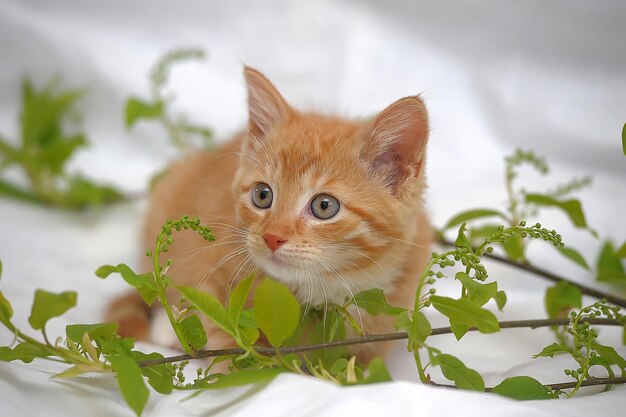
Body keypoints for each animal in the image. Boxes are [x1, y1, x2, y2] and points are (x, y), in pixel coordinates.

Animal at [106, 66, 428, 362]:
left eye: (324, 206)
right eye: (263, 195)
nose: (273, 237)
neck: (318, 289)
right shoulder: (213, 264)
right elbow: (223, 332)